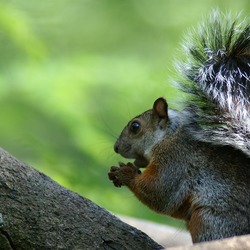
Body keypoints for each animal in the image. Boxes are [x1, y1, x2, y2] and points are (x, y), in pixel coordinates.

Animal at [108, 10, 250, 243]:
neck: (168, 136)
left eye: (135, 126)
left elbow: (161, 193)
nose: (116, 148)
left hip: (211, 221)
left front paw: (126, 173)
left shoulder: (176, 159)